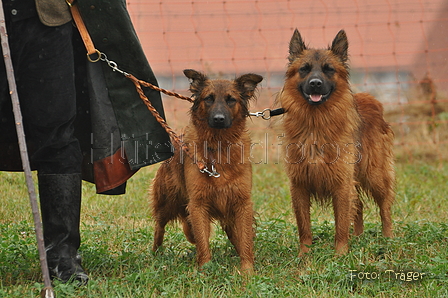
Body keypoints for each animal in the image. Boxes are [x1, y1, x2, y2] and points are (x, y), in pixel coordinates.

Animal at [150, 69, 262, 270]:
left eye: (231, 100)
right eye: (209, 98)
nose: (218, 119)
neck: (219, 145)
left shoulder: (241, 202)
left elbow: (245, 238)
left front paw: (247, 269)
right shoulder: (197, 203)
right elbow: (202, 240)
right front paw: (205, 267)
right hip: (167, 202)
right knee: (159, 227)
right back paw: (156, 254)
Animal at [282, 29, 394, 255]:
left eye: (329, 69)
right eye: (304, 69)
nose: (315, 83)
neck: (315, 123)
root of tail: (373, 101)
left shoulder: (341, 182)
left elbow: (341, 222)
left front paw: (341, 253)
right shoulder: (299, 184)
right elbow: (304, 225)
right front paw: (304, 254)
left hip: (374, 174)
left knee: (384, 205)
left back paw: (388, 238)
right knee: (359, 205)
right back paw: (358, 237)